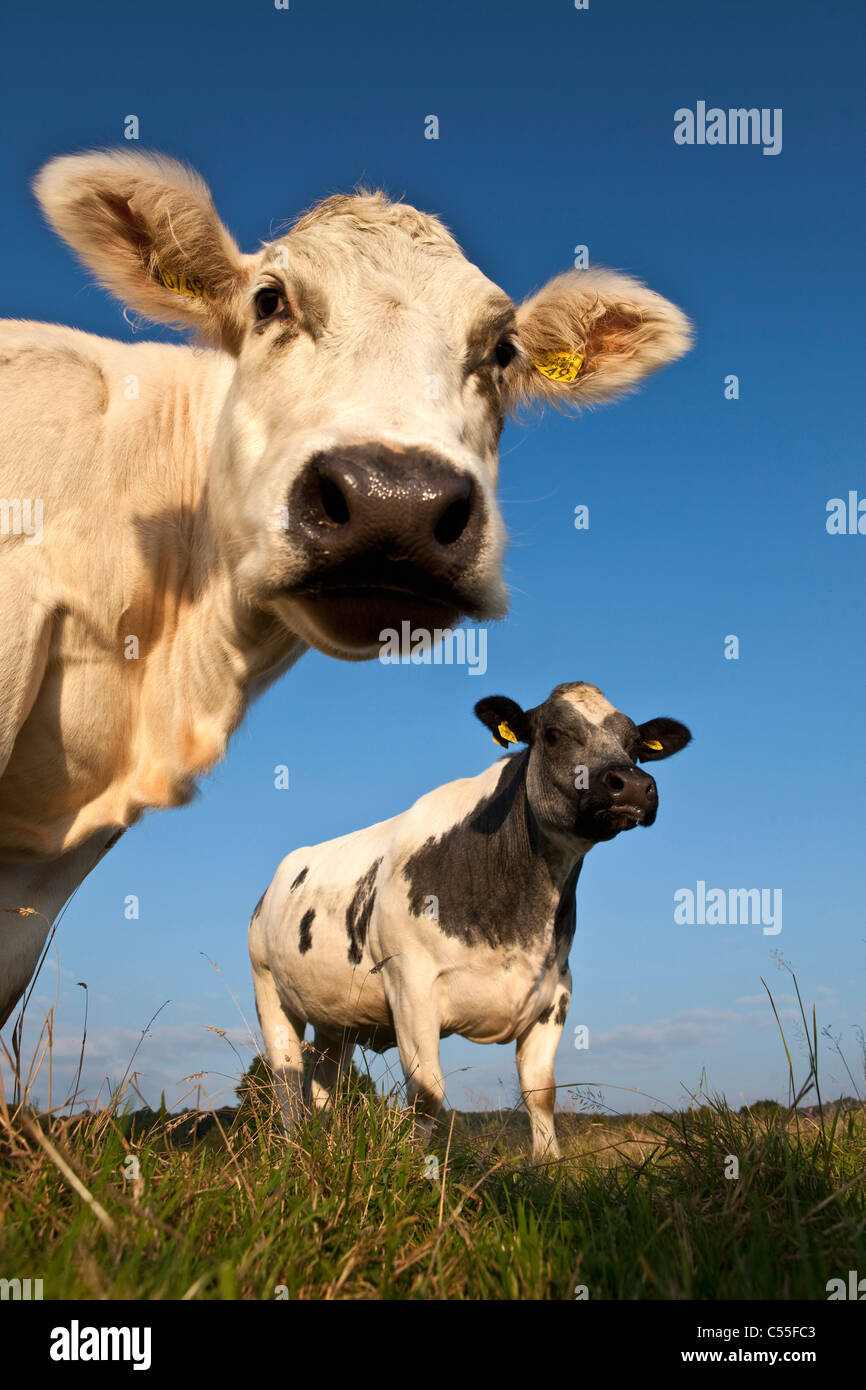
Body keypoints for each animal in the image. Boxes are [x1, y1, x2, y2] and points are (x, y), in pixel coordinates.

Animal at [250, 678, 692, 1156]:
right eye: (554, 734)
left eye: (636, 746)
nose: (632, 786)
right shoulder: (411, 987)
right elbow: (427, 1095)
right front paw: (415, 1167)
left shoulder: (556, 995)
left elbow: (541, 1093)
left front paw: (549, 1165)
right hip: (269, 989)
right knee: (287, 1085)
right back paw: (292, 1153)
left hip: (337, 1019)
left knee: (322, 1087)